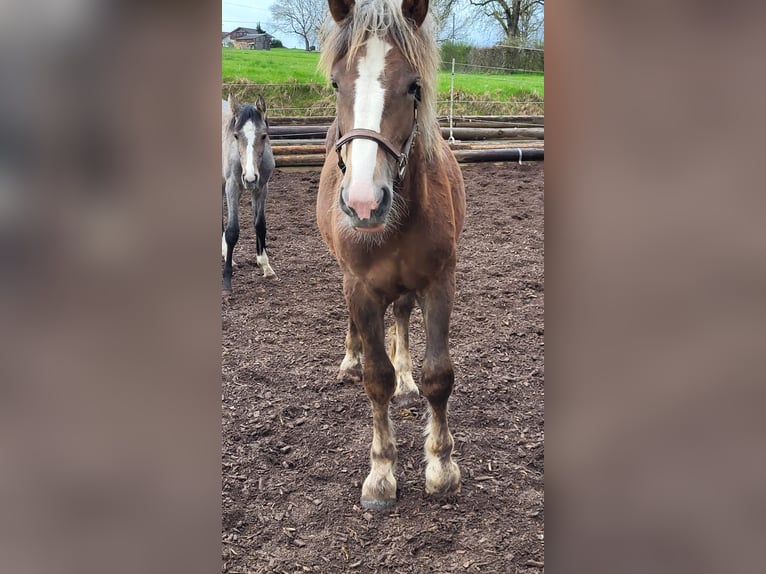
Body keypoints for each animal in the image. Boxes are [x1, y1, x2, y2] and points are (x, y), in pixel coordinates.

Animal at [222, 95, 276, 294]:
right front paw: (227, 282)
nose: (250, 177)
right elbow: (232, 231)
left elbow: (260, 225)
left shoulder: (261, 187)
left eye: (264, 135)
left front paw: (265, 266)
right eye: (236, 135)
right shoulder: (232, 186)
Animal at [318, 0, 468, 510]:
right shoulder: (361, 288)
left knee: (401, 314)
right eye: (336, 83)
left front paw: (441, 466)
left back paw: (406, 380)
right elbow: (375, 378)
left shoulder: (439, 281)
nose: (364, 202)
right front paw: (381, 474)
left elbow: (438, 375)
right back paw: (349, 359)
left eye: (414, 86)